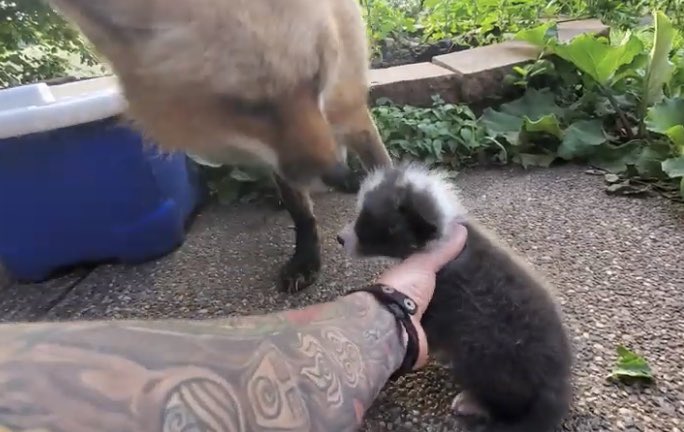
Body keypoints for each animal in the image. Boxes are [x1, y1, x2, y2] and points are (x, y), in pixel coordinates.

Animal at [46, 0, 393, 293]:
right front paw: (306, 258)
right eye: (247, 108)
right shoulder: (277, 155)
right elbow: (300, 211)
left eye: (316, 77)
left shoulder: (347, 106)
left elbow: (383, 168)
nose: (335, 174)